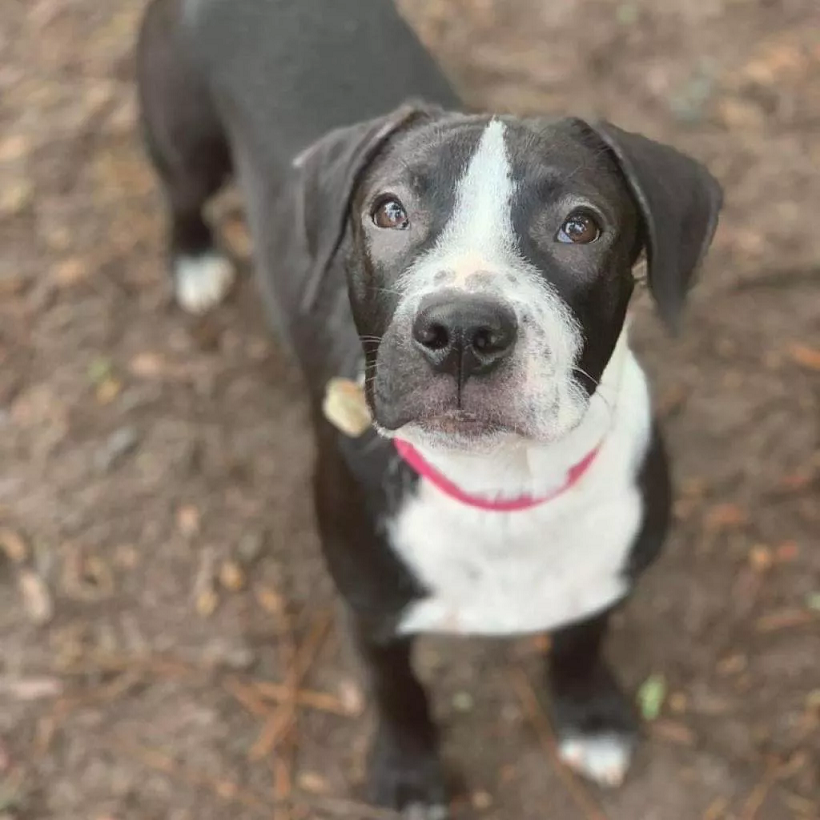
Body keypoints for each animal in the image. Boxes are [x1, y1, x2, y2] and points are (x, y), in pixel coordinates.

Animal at [138, 0, 720, 812]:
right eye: (389, 212)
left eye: (580, 226)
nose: (463, 331)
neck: (501, 487)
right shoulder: (371, 610)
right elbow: (400, 694)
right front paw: (409, 777)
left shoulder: (603, 577)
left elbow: (580, 642)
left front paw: (591, 718)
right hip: (183, 136)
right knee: (182, 193)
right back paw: (194, 260)